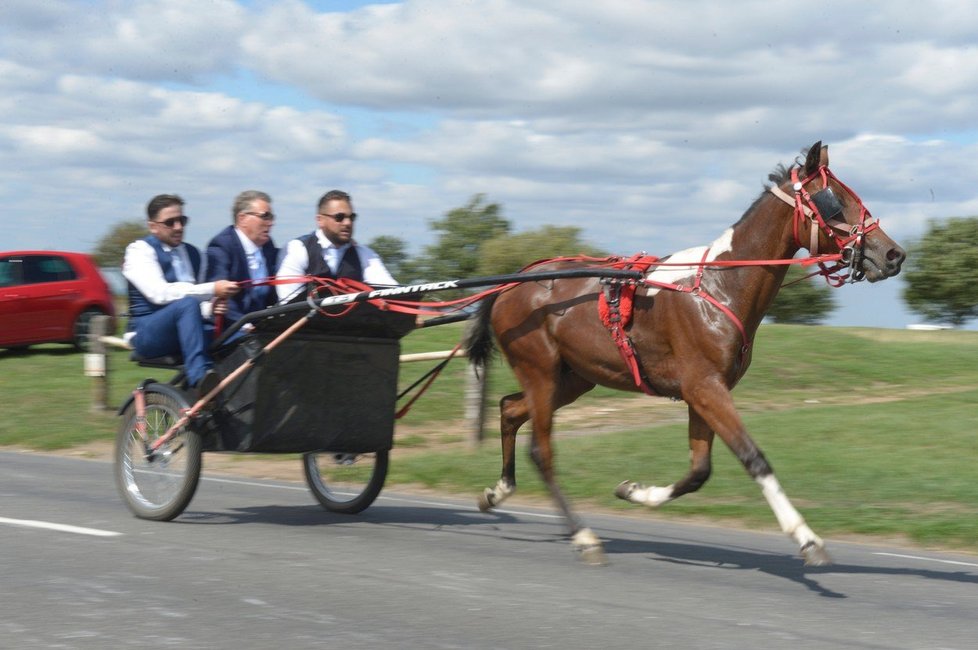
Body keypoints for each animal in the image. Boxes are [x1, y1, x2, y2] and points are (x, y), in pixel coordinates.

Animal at [466, 140, 908, 560]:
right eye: (834, 200)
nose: (893, 254)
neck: (718, 286)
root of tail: (512, 283)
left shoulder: (702, 392)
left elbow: (699, 471)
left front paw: (636, 491)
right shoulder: (705, 386)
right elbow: (754, 458)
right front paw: (806, 537)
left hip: (574, 377)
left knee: (509, 409)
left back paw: (497, 491)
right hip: (540, 369)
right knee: (542, 451)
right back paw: (583, 535)